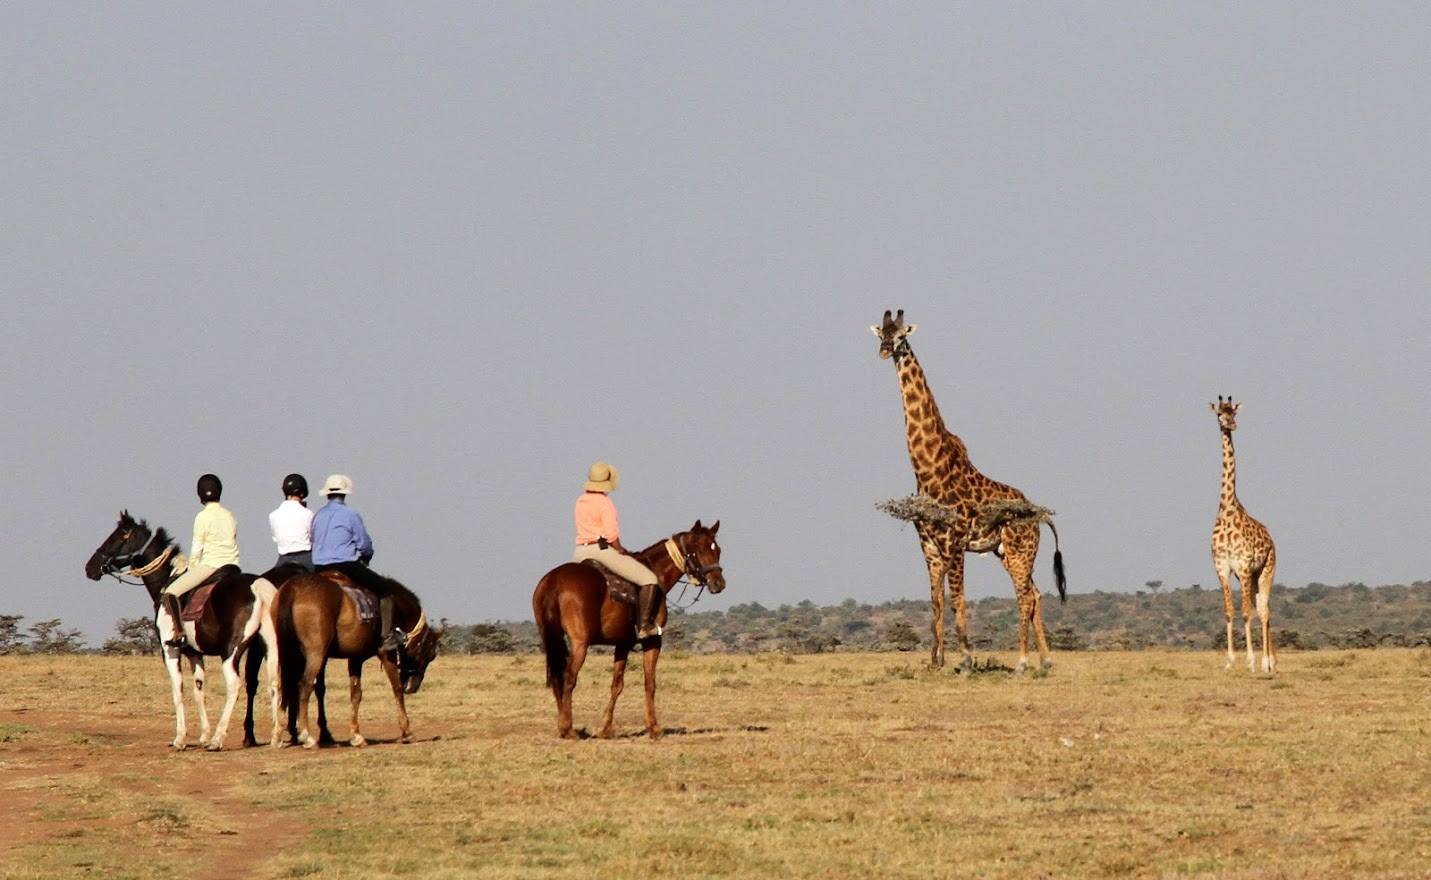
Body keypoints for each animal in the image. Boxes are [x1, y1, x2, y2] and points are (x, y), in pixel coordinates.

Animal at [84, 511, 295, 750]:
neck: (168, 580)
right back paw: (275, 737)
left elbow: (178, 690)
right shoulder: (195, 653)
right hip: (270, 648)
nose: (90, 567)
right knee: (274, 682)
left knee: (234, 685)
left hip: (231, 651)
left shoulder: (169, 651)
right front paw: (203, 735)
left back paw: (218, 739)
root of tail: (258, 586)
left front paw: (180, 738)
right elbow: (198, 690)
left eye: (118, 536)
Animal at [271, 570, 441, 749]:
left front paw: (356, 735)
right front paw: (407, 731)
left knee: (286, 686)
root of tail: (293, 588)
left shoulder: (355, 658)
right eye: (429, 655)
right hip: (315, 654)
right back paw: (306, 736)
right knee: (305, 685)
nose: (413, 687)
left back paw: (279, 734)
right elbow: (397, 689)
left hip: (288, 652)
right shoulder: (386, 655)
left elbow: (355, 694)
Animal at [533, 520, 725, 740]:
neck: (655, 571)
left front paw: (606, 728)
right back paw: (568, 728)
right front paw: (654, 728)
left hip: (552, 639)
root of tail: (554, 581)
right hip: (580, 643)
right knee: (569, 679)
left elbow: (617, 684)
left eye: (718, 550)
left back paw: (563, 725)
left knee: (557, 679)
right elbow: (650, 683)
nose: (719, 583)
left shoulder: (622, 643)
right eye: (700, 550)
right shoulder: (652, 641)